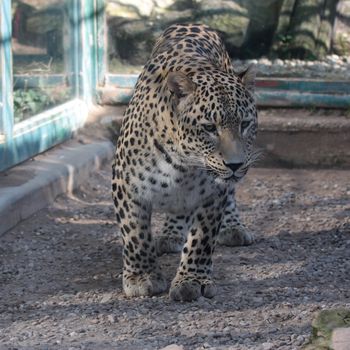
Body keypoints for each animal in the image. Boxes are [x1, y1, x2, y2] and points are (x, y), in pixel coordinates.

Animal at [113, 22, 260, 300]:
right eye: (209, 127)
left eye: (245, 124)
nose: (235, 165)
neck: (184, 164)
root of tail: (195, 24)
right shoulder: (127, 185)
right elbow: (135, 234)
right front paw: (141, 277)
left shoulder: (213, 194)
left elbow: (201, 240)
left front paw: (192, 280)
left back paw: (233, 228)